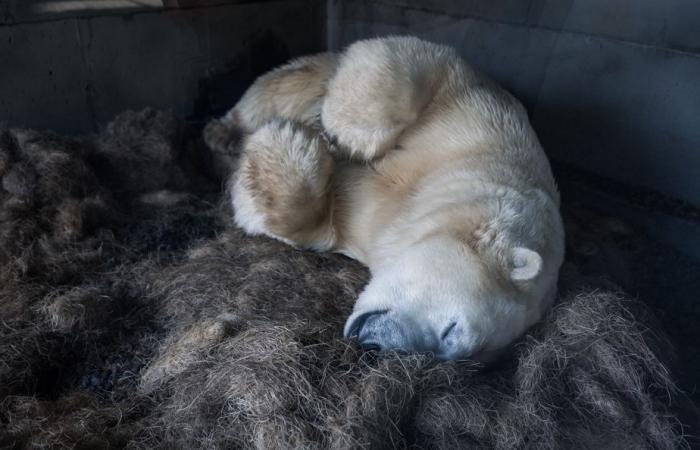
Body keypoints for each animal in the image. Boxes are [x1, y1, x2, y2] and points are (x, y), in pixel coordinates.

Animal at [205, 37, 568, 360]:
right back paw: (222, 134)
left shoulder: (368, 228)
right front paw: (335, 135)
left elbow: (313, 226)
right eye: (451, 330)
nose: (375, 346)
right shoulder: (481, 119)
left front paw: (288, 143)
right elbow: (406, 59)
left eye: (444, 356)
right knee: (271, 89)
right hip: (296, 74)